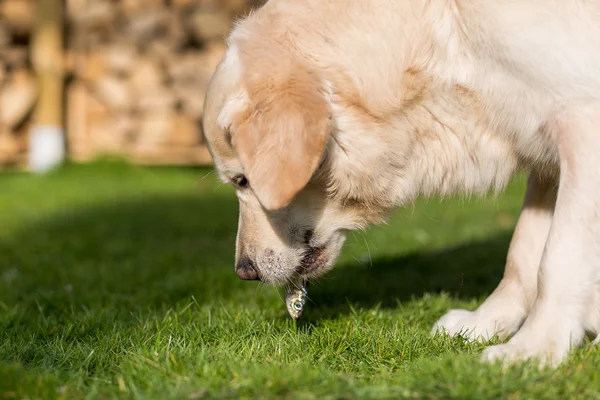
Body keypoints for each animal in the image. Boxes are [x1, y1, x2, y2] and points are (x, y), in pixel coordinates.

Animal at [200, 0, 600, 368]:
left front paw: (535, 347)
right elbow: (523, 252)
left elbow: (559, 255)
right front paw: (485, 323)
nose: (244, 271)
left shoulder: (581, 124)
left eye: (243, 180)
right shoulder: (542, 148)